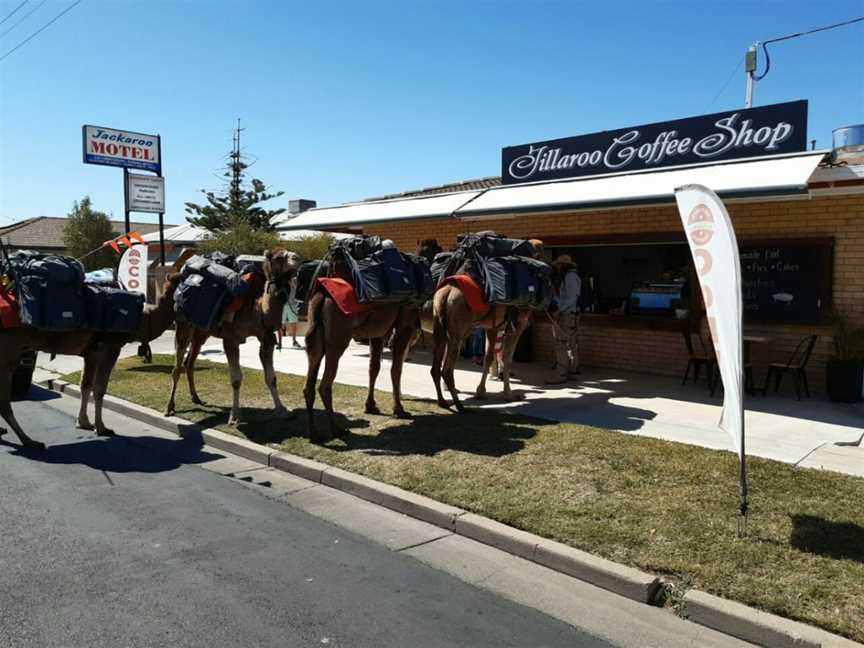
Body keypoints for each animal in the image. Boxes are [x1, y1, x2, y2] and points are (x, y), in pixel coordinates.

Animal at [0, 270, 182, 448]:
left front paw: (84, 422)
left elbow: (85, 385)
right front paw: (101, 428)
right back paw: (29, 441)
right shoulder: (109, 348)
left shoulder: (90, 353)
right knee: (5, 400)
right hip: (9, 348)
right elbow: (99, 388)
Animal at [165, 248, 300, 426]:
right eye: (278, 257)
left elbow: (271, 378)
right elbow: (236, 379)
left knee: (189, 363)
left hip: (201, 333)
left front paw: (282, 410)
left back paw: (196, 398)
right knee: (177, 365)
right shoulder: (230, 339)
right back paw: (169, 407)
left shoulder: (266, 337)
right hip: (183, 324)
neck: (257, 309)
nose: (297, 258)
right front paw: (235, 416)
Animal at [304, 239, 442, 446]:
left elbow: (373, 367)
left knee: (309, 384)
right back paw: (337, 429)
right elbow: (396, 369)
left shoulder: (378, 332)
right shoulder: (405, 325)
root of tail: (321, 297)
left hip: (316, 338)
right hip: (338, 338)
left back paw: (315, 434)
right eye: (435, 249)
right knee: (325, 384)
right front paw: (399, 410)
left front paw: (371, 406)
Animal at [426, 237, 544, 410]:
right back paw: (459, 405)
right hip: (457, 331)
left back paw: (443, 401)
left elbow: (488, 357)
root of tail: (446, 292)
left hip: (440, 328)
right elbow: (507, 358)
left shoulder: (492, 327)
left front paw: (480, 391)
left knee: (435, 368)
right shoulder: (518, 326)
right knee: (446, 369)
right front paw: (509, 395)